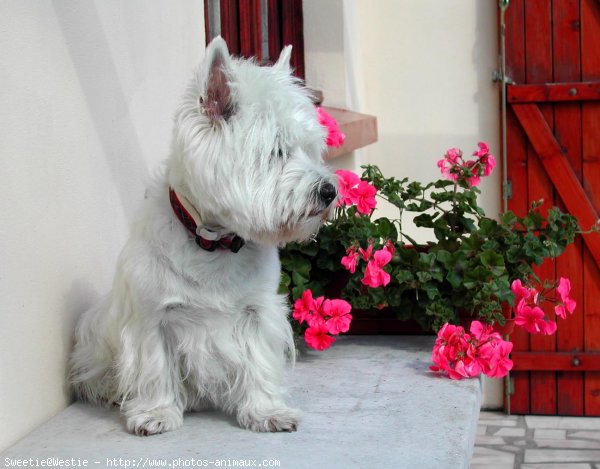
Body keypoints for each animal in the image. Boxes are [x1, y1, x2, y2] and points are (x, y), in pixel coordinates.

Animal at [69, 37, 338, 436]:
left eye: (311, 148)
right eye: (276, 151)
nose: (330, 191)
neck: (215, 242)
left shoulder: (257, 311)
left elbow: (258, 362)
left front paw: (266, 411)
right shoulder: (151, 317)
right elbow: (154, 368)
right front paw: (156, 413)